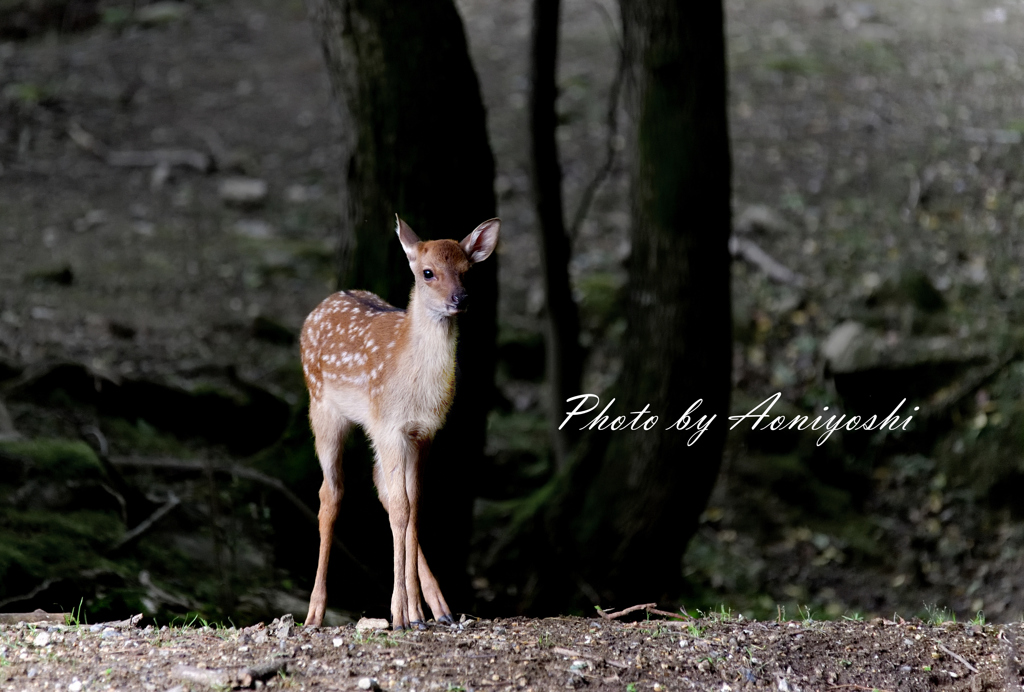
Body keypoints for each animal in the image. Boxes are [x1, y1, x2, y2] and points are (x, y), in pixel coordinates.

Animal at [299, 214, 499, 626]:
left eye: (467, 271)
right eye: (427, 272)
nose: (461, 299)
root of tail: (323, 302)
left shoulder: (422, 432)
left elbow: (414, 504)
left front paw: (417, 611)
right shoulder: (391, 426)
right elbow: (404, 507)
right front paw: (400, 613)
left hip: (372, 430)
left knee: (382, 490)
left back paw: (438, 608)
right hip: (323, 408)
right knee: (331, 492)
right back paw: (314, 613)